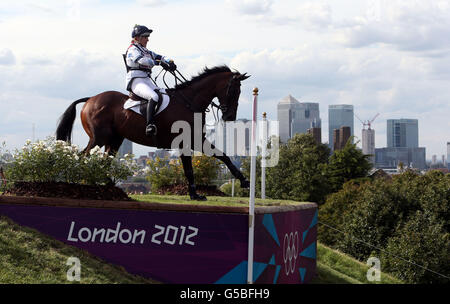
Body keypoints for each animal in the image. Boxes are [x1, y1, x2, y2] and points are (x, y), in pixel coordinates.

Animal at [55, 65, 251, 201]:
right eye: (234, 91)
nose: (230, 117)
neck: (189, 102)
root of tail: (90, 99)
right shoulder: (184, 142)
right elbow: (189, 169)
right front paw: (194, 195)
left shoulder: (196, 139)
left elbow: (223, 156)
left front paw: (244, 181)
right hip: (99, 138)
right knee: (84, 156)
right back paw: (80, 182)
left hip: (115, 140)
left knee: (104, 160)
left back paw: (109, 185)